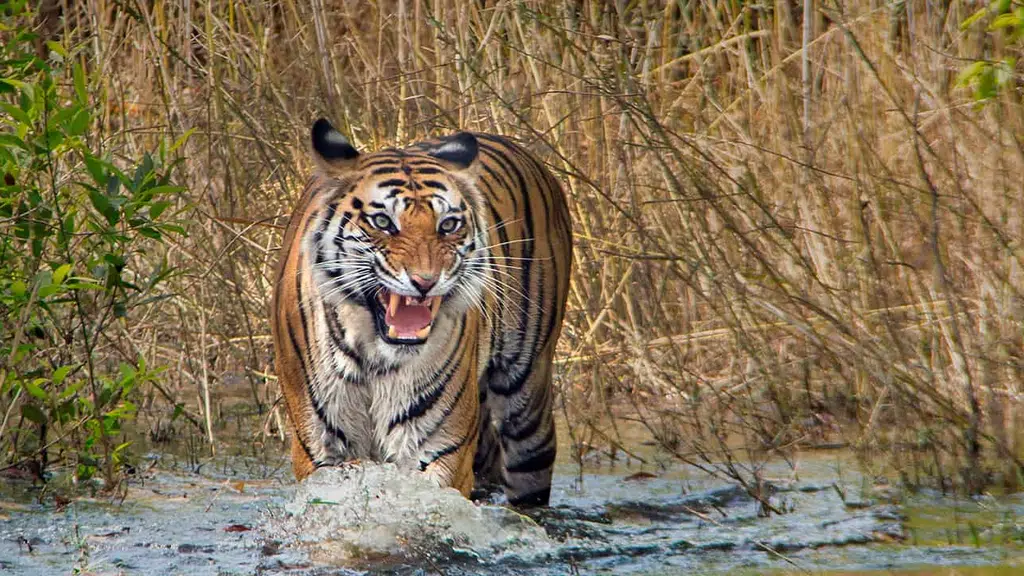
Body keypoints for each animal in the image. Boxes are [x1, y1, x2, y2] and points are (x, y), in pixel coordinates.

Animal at [270, 118, 573, 506]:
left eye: (448, 225)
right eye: (383, 222)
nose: (425, 282)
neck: (375, 356)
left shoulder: (438, 447)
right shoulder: (320, 446)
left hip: (526, 396)